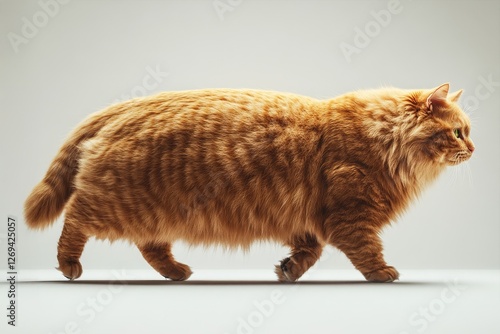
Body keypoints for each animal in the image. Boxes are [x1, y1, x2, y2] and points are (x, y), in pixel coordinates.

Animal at [26, 83, 472, 282]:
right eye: (456, 133)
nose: (474, 148)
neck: (384, 140)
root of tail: (125, 106)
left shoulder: (309, 220)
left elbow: (309, 252)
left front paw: (288, 270)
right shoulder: (349, 216)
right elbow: (367, 252)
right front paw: (383, 273)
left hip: (151, 212)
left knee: (151, 247)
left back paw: (177, 272)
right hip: (115, 203)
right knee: (74, 221)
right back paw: (69, 266)